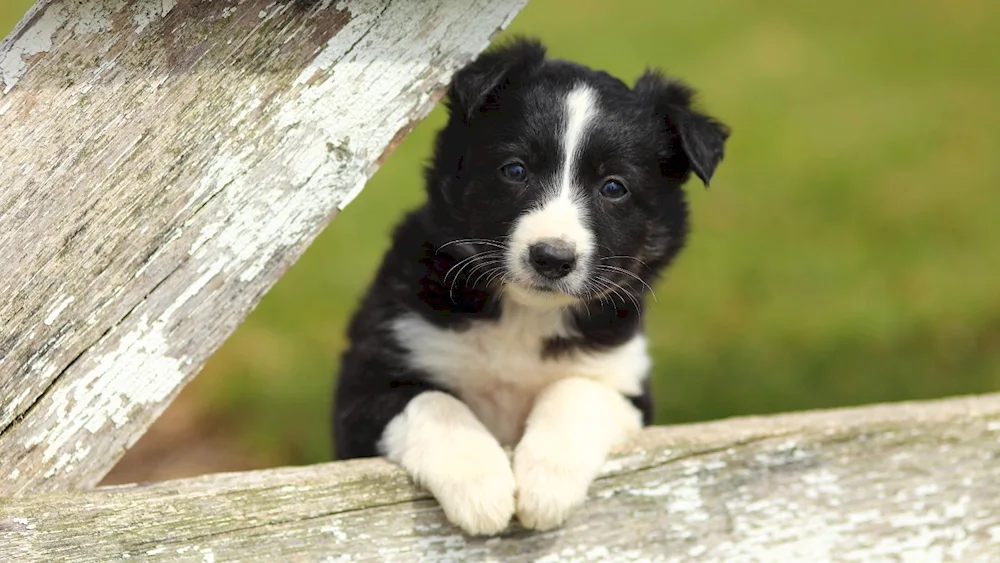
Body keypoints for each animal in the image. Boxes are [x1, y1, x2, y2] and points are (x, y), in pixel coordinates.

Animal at [332, 37, 732, 536]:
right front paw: (480, 486)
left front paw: (546, 486)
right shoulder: (367, 382)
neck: (525, 315)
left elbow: (575, 391)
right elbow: (434, 402)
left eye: (614, 187)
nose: (552, 258)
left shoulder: (626, 383)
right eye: (515, 170)